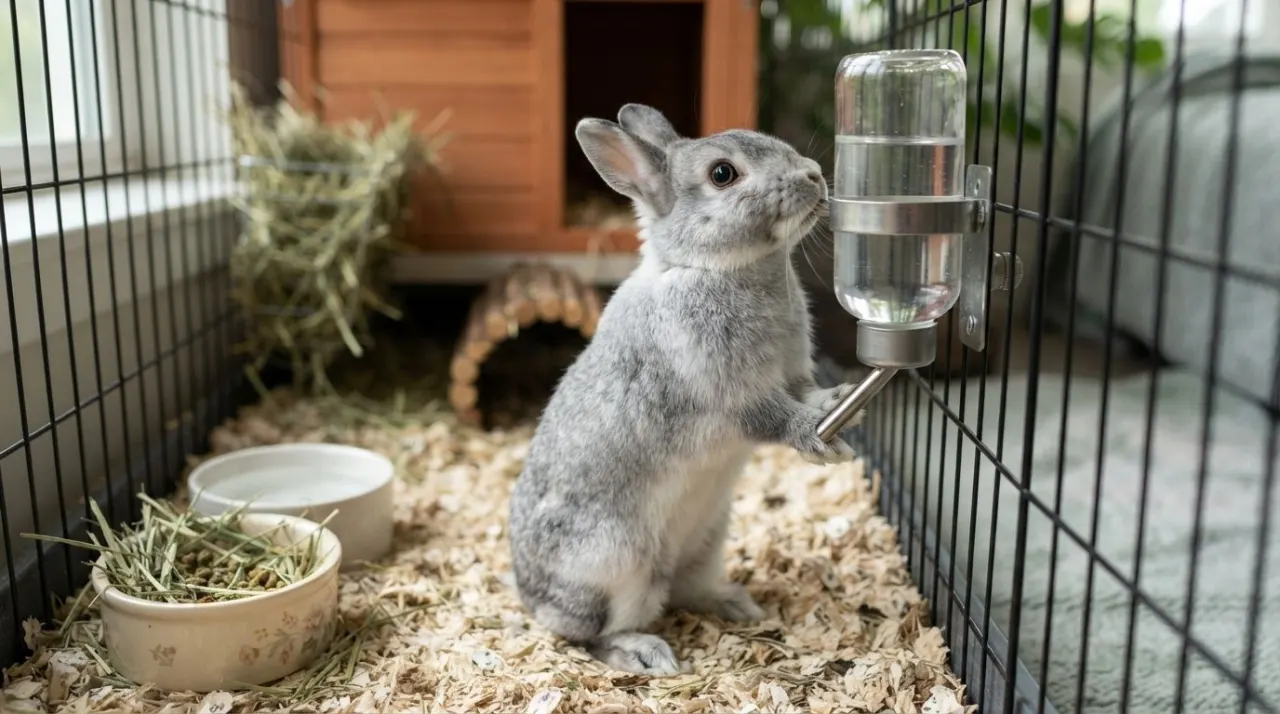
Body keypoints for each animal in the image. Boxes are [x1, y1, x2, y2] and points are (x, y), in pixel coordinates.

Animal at [507, 103, 861, 676]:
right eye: (723, 174)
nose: (813, 175)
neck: (716, 267)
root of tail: (529, 595)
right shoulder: (729, 393)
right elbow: (775, 418)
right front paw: (818, 433)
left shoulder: (792, 374)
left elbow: (806, 393)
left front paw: (839, 404)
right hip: (617, 562)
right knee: (590, 633)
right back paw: (643, 652)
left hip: (707, 536)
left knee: (684, 589)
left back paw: (736, 603)